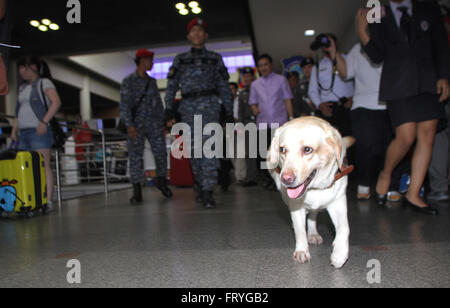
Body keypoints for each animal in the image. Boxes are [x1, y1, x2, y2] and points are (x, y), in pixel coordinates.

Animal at [268, 116, 356, 268]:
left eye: (307, 149)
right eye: (282, 149)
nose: (286, 179)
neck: (315, 187)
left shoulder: (338, 203)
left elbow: (345, 228)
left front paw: (340, 254)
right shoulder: (296, 207)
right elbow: (300, 230)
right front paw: (302, 251)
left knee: (313, 215)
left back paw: (313, 233)